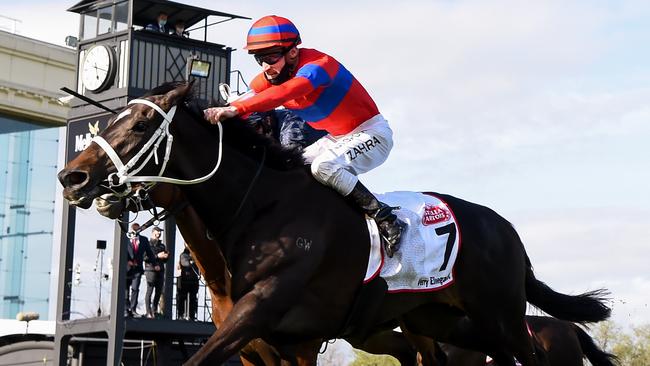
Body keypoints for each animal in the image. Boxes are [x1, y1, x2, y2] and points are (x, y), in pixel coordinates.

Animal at [58, 83, 612, 366]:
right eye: (109, 121)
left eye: (140, 124)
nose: (72, 176)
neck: (258, 209)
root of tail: (507, 229)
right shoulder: (272, 346)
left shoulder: (262, 318)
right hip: (444, 321)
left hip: (500, 318)